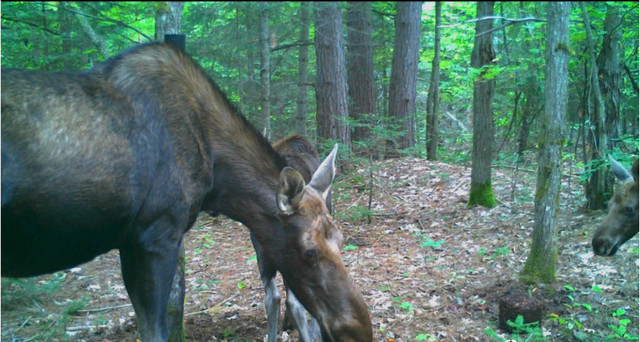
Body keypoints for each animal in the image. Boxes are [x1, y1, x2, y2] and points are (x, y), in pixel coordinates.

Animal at [0, 43, 372, 342]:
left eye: (341, 239)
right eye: (309, 252)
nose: (359, 330)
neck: (216, 182)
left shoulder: (130, 241)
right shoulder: (156, 234)